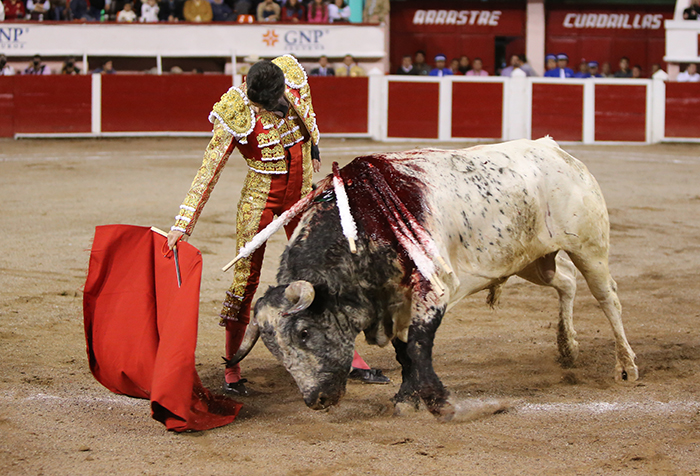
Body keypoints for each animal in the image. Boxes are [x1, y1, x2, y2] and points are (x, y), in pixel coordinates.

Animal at [230, 137, 638, 421]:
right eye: (273, 348)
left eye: (303, 333)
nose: (315, 400)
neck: (362, 226)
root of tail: (555, 150)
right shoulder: (396, 301)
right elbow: (403, 351)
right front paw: (406, 399)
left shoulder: (433, 291)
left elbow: (417, 346)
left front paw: (439, 402)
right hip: (532, 261)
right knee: (566, 281)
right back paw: (567, 348)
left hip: (589, 247)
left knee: (608, 298)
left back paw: (626, 367)